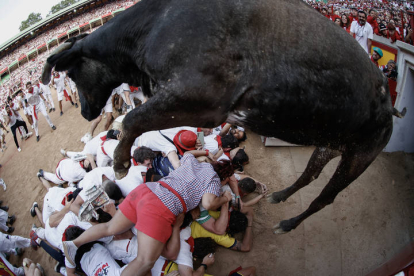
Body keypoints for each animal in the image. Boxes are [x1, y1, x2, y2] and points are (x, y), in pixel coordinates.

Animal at [42, 0, 402, 233]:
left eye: (71, 73)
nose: (85, 111)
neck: (154, 24)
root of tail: (389, 106)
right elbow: (134, 117)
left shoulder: (202, 99)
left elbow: (132, 119)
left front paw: (119, 162)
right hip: (330, 145)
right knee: (309, 176)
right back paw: (280, 196)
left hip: (358, 157)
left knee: (325, 198)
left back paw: (287, 224)